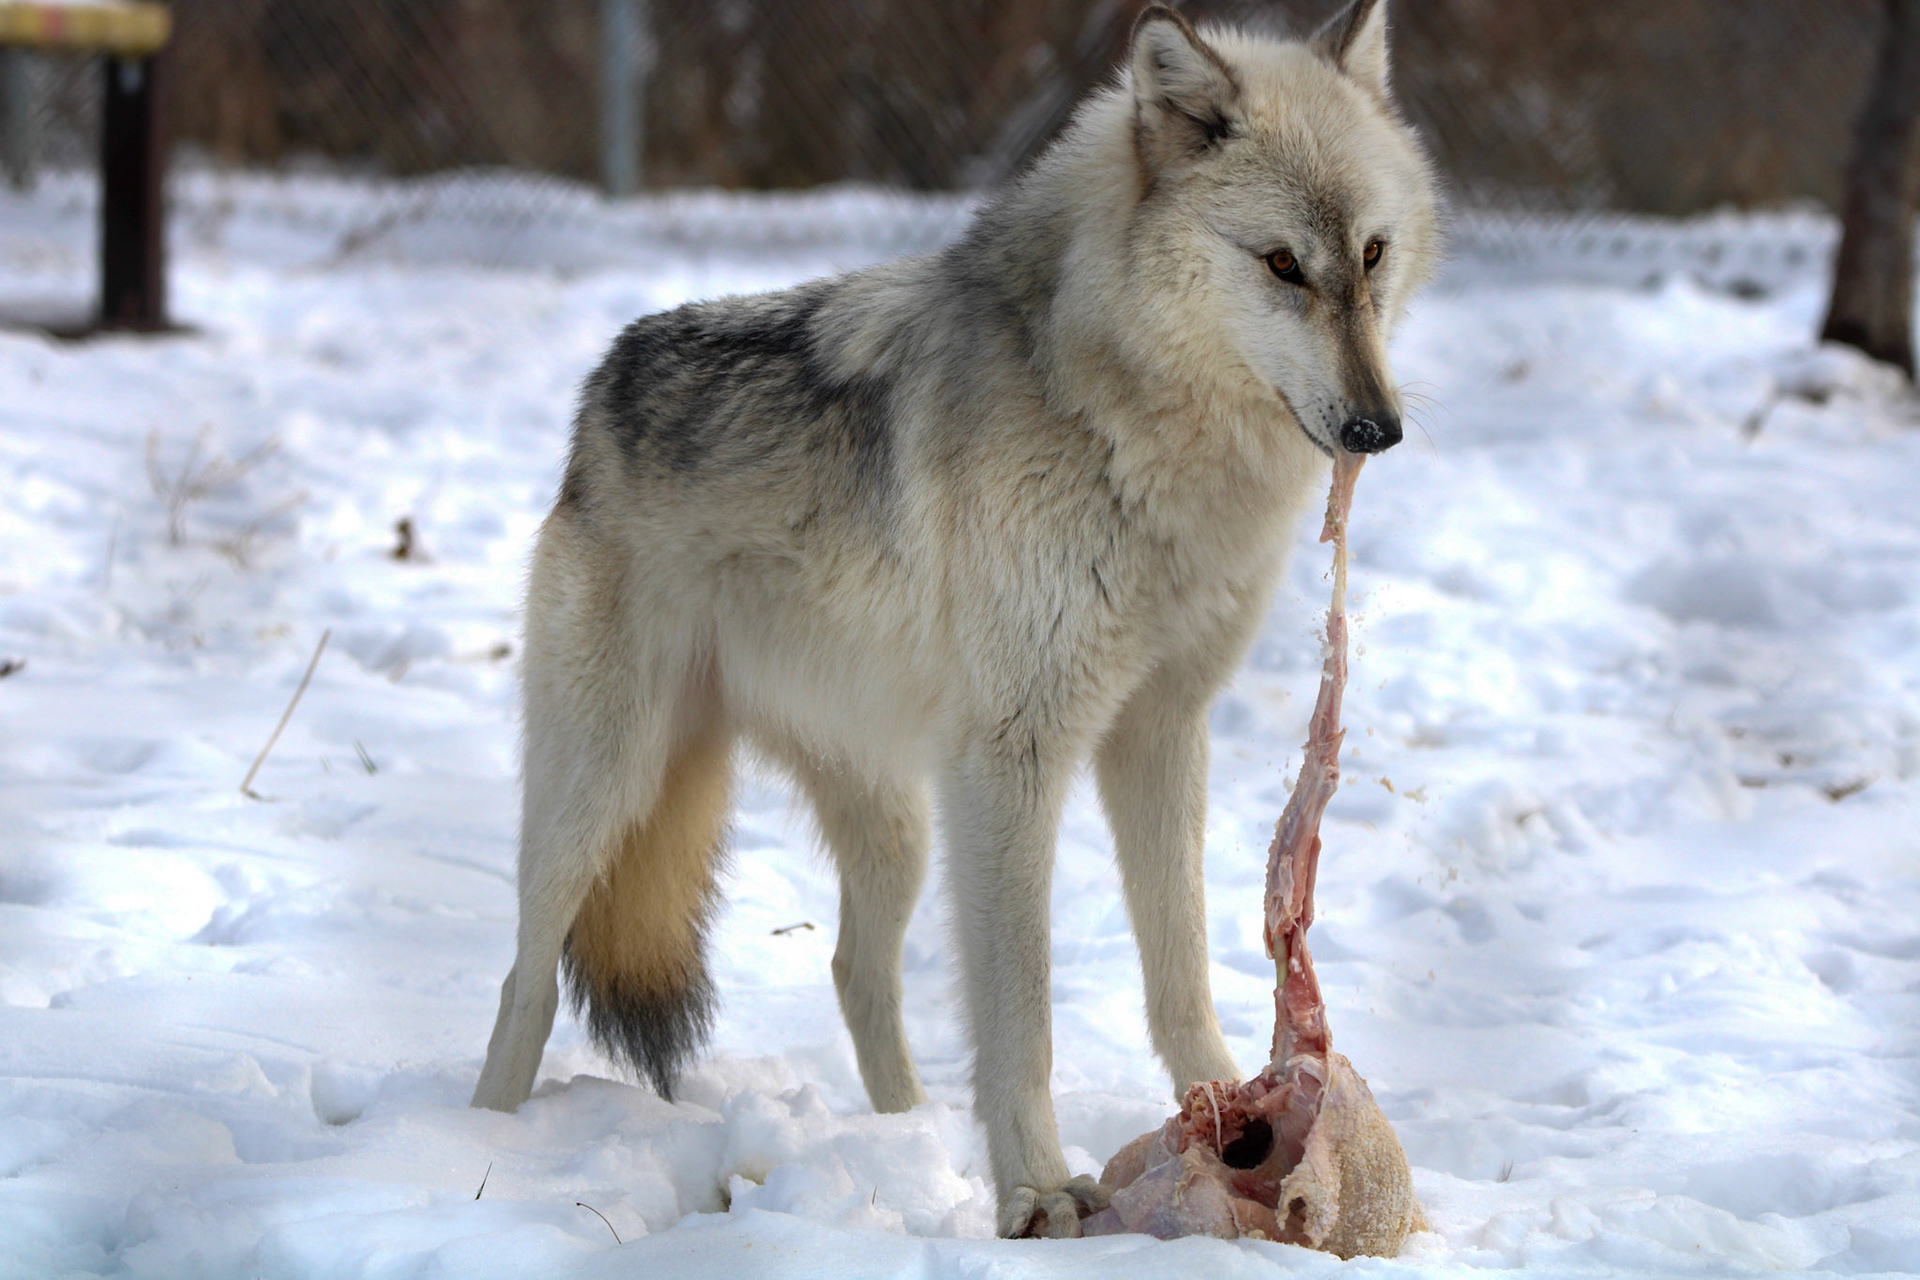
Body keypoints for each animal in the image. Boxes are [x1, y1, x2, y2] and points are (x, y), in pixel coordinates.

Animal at [471, 0, 1439, 1239]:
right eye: (1281, 264)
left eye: (1371, 254)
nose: (1379, 428)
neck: (1125, 421)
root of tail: (601, 389)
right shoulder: (1016, 757)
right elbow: (1021, 1007)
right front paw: (1039, 1191)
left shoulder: (1161, 731)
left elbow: (1178, 969)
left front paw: (1236, 1115)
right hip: (605, 789)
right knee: (525, 973)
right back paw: (476, 1146)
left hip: (899, 823)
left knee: (853, 969)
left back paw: (913, 1140)